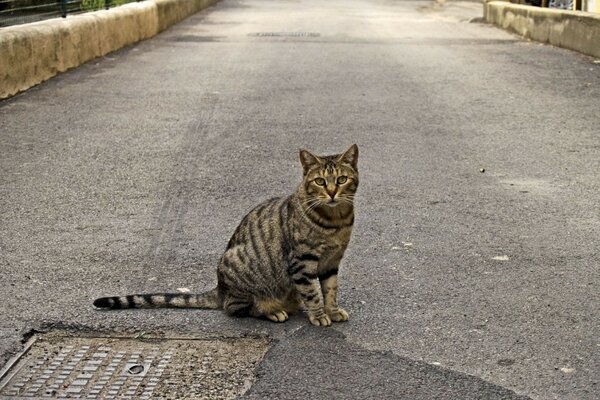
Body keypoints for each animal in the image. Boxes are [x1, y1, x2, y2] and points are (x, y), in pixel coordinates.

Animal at [93, 145, 356, 326]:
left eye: (341, 179)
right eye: (320, 181)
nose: (332, 192)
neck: (336, 220)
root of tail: (219, 288)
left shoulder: (331, 262)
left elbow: (330, 290)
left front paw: (332, 311)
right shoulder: (301, 261)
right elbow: (312, 292)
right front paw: (319, 315)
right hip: (239, 266)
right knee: (235, 307)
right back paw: (272, 310)